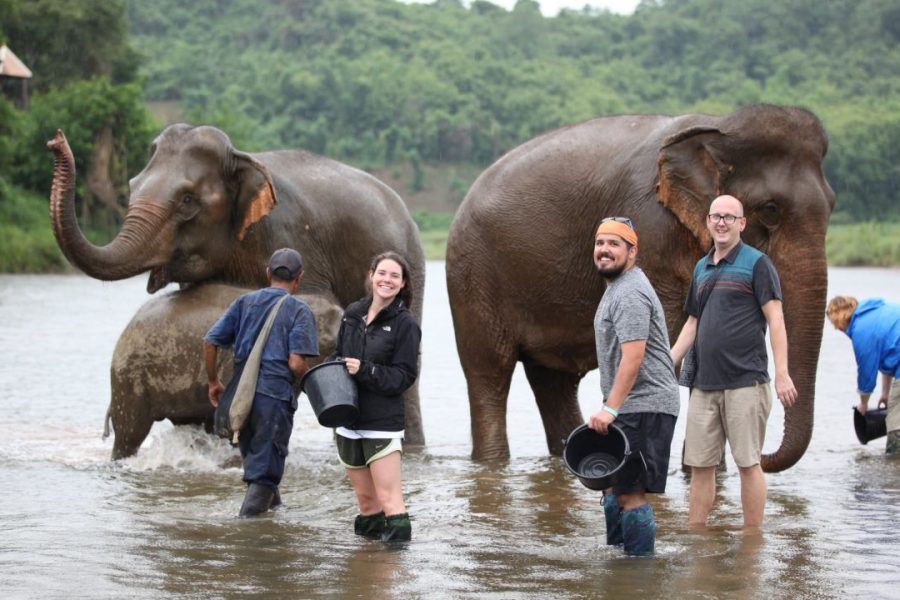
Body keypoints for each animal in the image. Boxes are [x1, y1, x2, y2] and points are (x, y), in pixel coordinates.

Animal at [448, 104, 836, 474]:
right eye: (770, 210)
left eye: (832, 206)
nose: (765, 457)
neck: (720, 125)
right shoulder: (651, 227)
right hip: (472, 273)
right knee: (490, 371)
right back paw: (493, 462)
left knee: (554, 381)